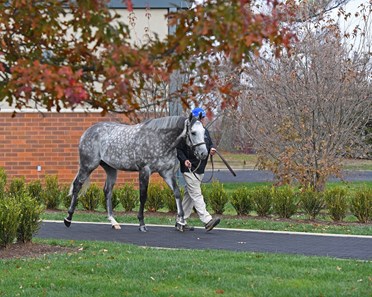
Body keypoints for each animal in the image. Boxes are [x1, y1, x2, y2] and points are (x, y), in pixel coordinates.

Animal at [64, 113, 209, 231]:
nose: (203, 153)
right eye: (193, 132)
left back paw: (114, 222)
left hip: (110, 169)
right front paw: (142, 224)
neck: (160, 139)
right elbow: (143, 196)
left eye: (204, 132)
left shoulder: (167, 173)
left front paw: (181, 222)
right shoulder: (144, 171)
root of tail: (87, 132)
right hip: (87, 166)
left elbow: (177, 193)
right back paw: (68, 218)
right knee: (77, 185)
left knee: (107, 191)